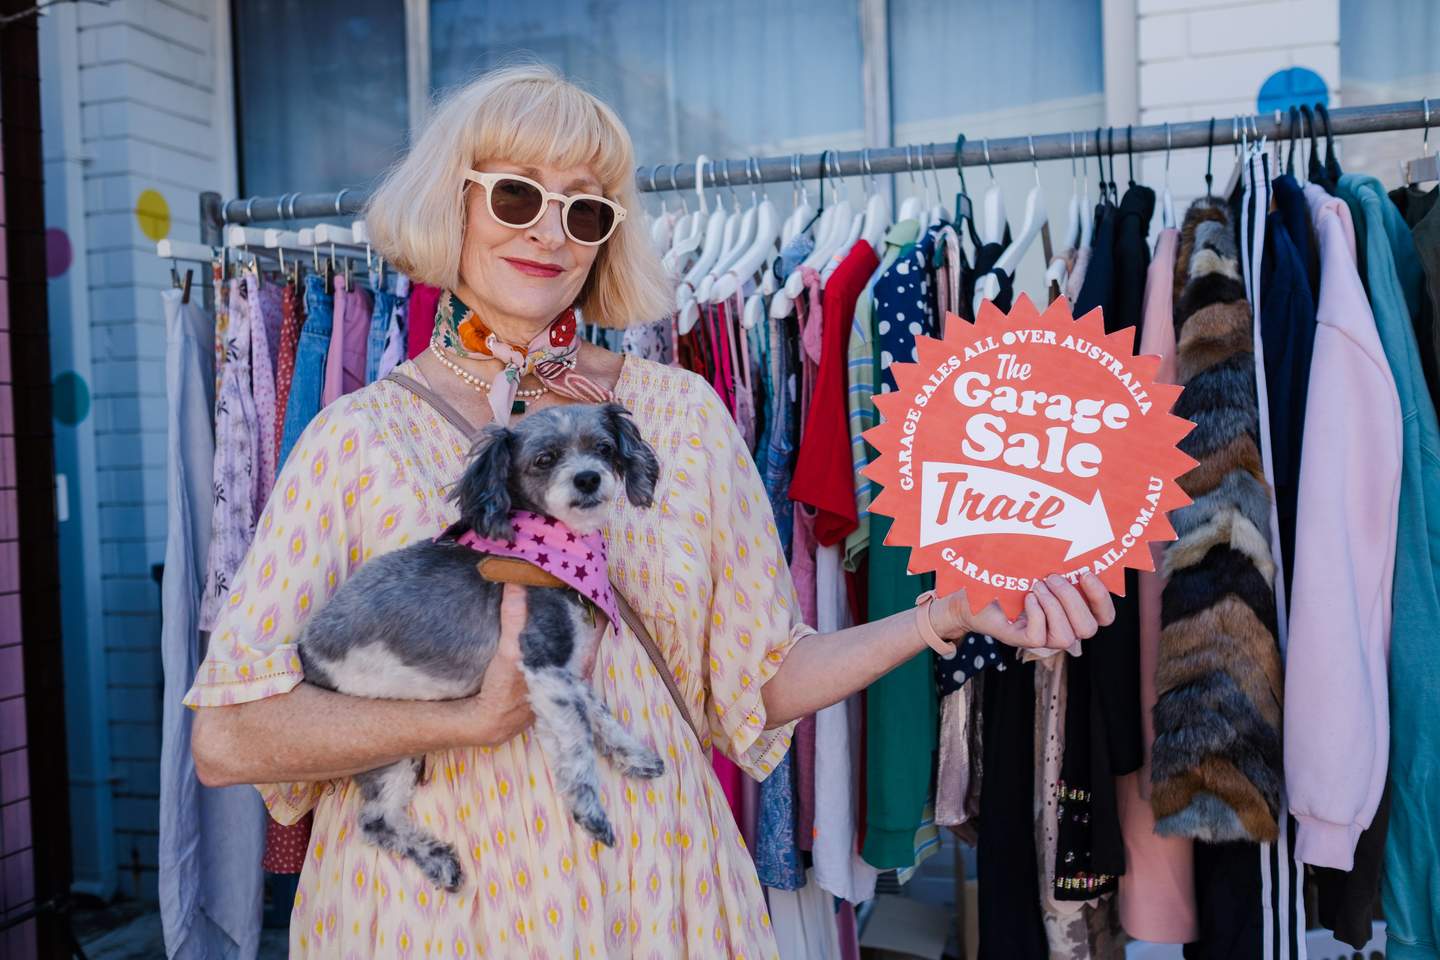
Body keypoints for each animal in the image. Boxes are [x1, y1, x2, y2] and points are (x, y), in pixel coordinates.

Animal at [302, 402, 668, 892]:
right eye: (544, 459)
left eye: (605, 448)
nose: (588, 478)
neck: (558, 550)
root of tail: (307, 654)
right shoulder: (544, 660)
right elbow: (575, 740)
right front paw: (589, 810)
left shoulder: (567, 667)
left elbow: (598, 713)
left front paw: (631, 753)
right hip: (384, 747)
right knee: (375, 820)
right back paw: (435, 857)